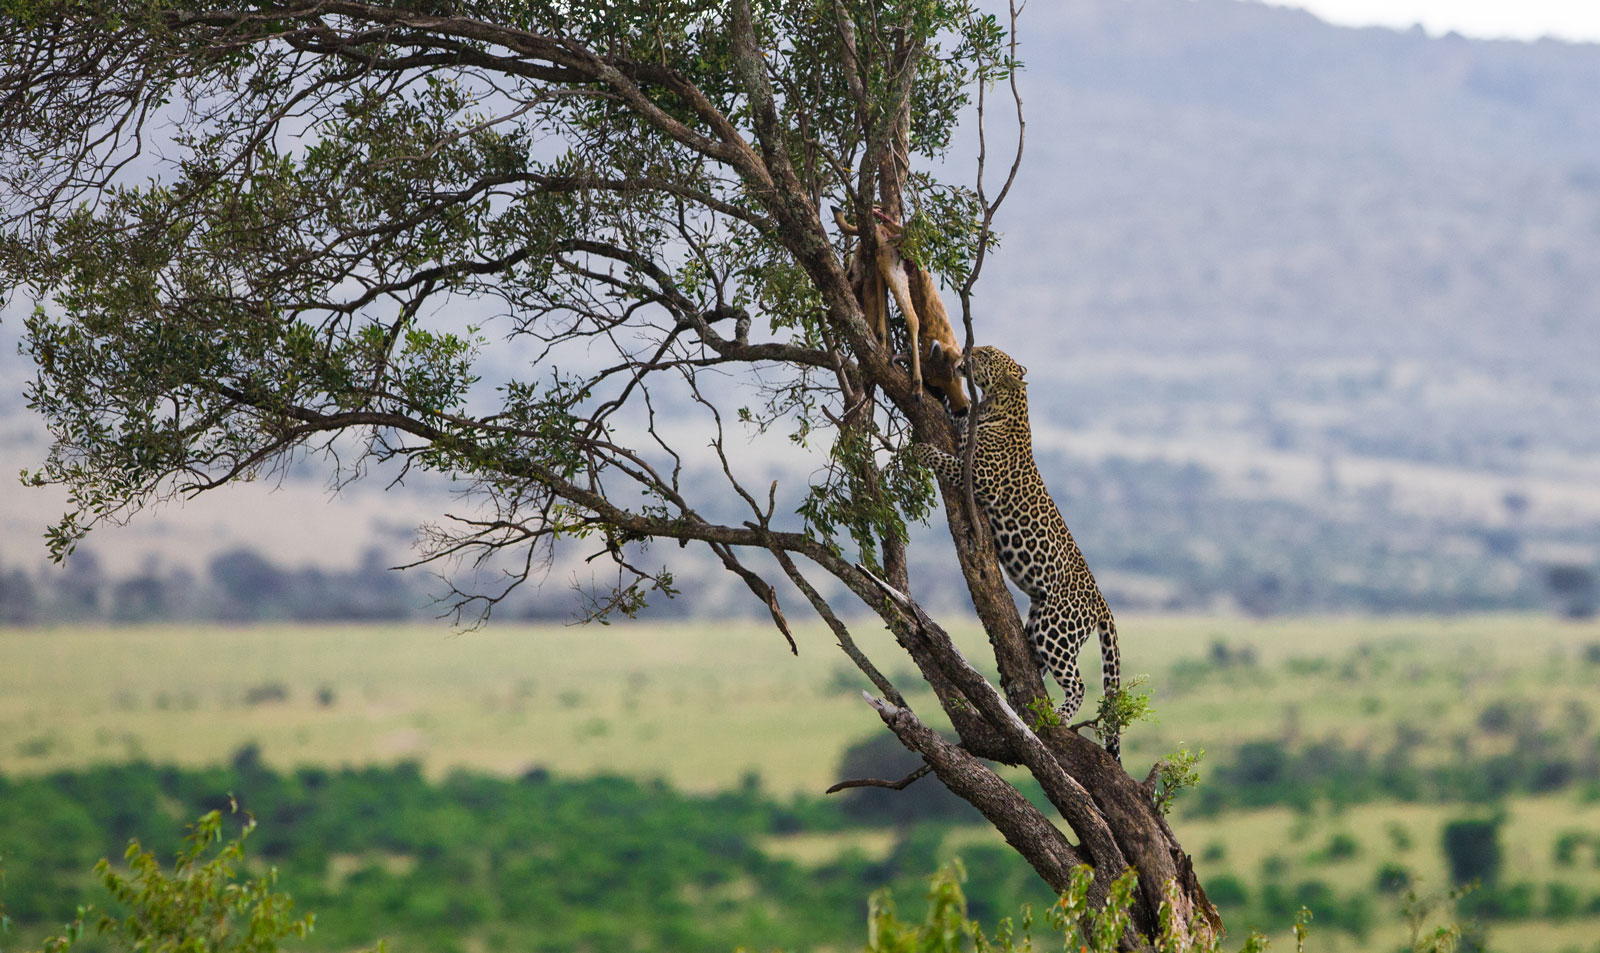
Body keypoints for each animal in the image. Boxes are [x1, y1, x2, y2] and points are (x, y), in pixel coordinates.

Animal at [910, 345, 1123, 761]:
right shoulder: (964, 430)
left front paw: (923, 449)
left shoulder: (978, 477)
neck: (998, 405)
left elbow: (949, 461)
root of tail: (1101, 601)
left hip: (1057, 628)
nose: (965, 351)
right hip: (1039, 619)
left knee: (1077, 682)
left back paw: (1060, 716)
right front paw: (938, 394)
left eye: (985, 354)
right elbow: (953, 419)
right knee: (1033, 666)